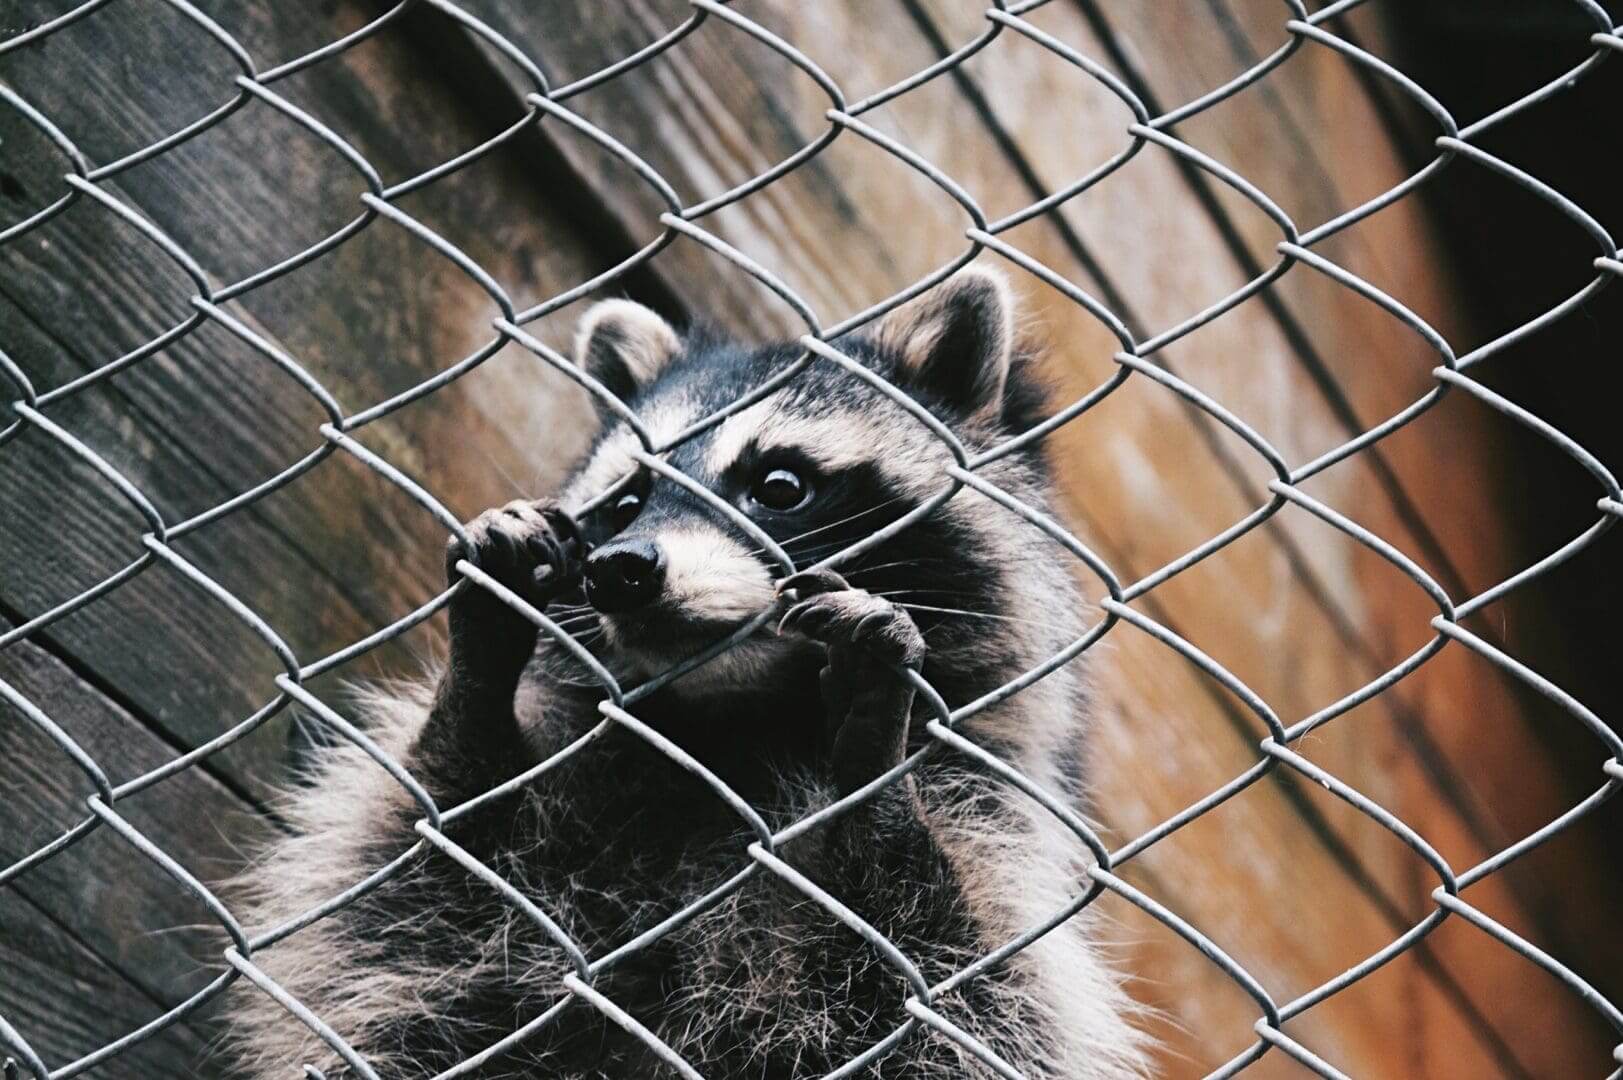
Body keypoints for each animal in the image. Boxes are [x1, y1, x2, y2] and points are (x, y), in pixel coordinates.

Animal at [228, 269, 1150, 1079]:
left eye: (779, 484)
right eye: (626, 502)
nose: (620, 570)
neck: (729, 724)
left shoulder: (992, 829)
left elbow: (950, 993)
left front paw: (872, 773)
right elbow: (419, 890)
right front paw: (480, 673)